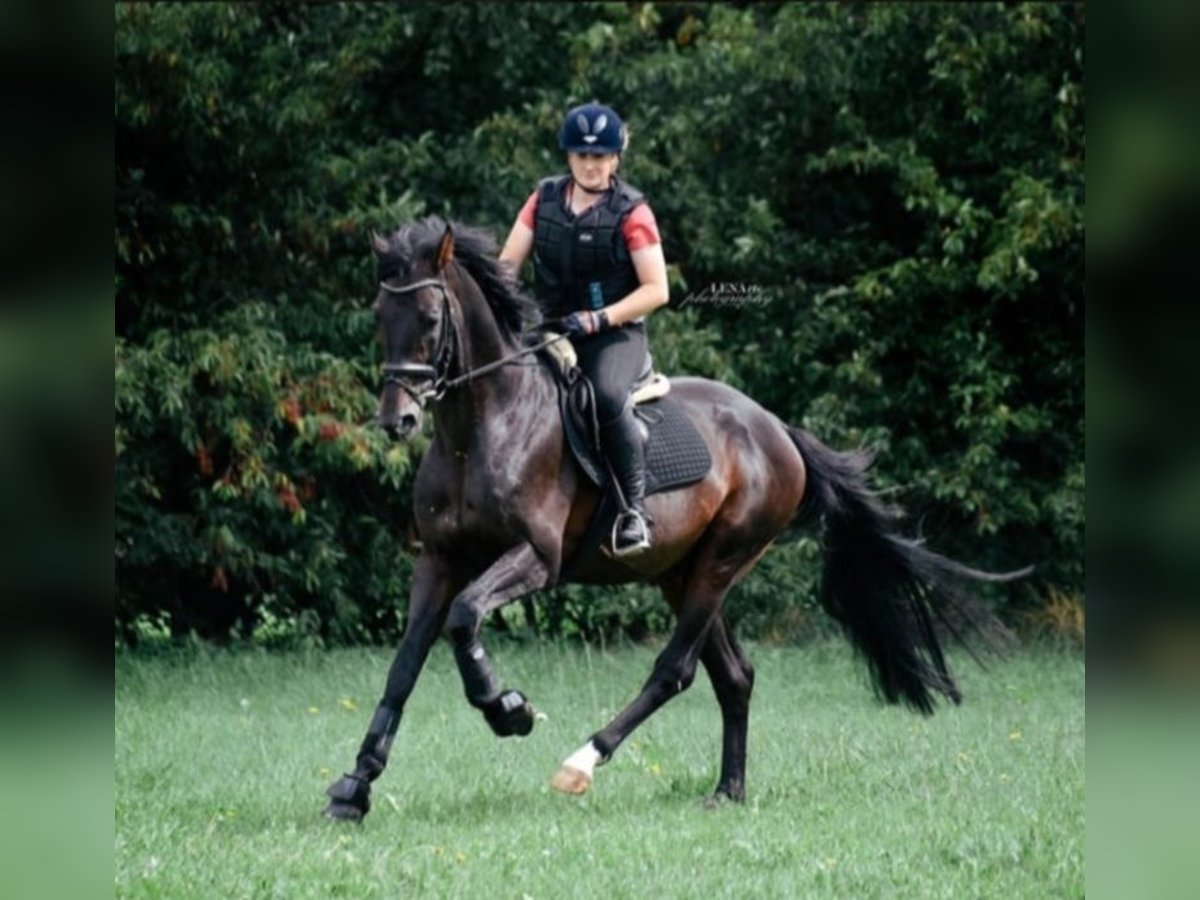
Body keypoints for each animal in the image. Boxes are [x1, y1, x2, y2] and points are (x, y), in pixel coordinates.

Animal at [324, 218, 1027, 825]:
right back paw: (728, 790)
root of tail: (778, 430)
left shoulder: (534, 558)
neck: (480, 429)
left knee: (676, 670)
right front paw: (355, 787)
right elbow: (405, 665)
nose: (397, 420)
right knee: (734, 676)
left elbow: (466, 618)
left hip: (723, 560)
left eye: (430, 317)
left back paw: (583, 762)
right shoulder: (439, 561)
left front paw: (508, 711)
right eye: (379, 316)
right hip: (679, 572)